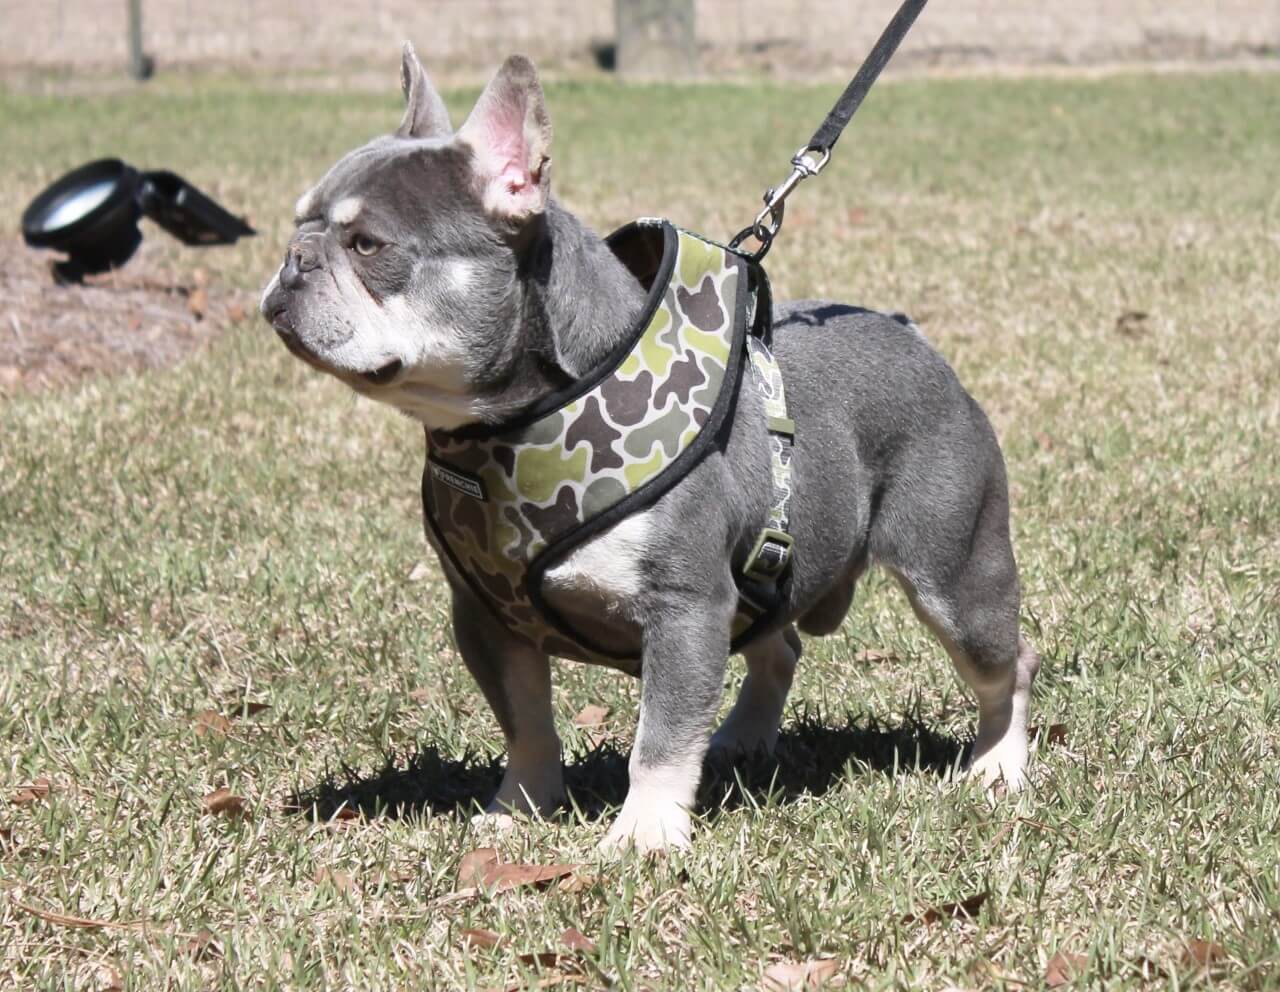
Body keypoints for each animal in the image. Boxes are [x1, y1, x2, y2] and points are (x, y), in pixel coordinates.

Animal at [259, 46, 1039, 855]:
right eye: (298, 227)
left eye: (368, 245)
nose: (293, 261)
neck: (512, 429)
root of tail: (915, 338)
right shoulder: (488, 618)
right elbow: (526, 724)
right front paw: (519, 809)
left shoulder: (684, 610)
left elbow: (660, 738)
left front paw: (643, 835)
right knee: (778, 646)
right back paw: (745, 737)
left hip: (954, 576)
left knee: (1007, 663)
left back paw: (997, 767)